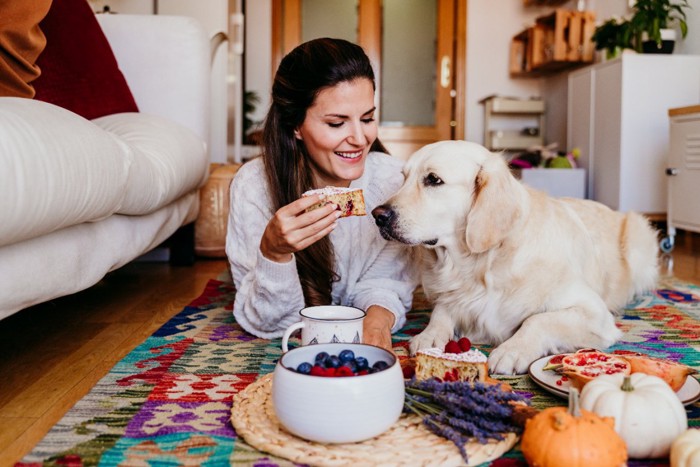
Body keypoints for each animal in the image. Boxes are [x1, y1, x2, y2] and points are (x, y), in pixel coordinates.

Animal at [374, 141, 660, 374]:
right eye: (403, 178)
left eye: (433, 179)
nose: (378, 215)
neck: (481, 265)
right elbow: (442, 310)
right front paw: (430, 334)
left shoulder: (594, 313)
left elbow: (538, 319)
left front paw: (512, 350)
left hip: (638, 239)